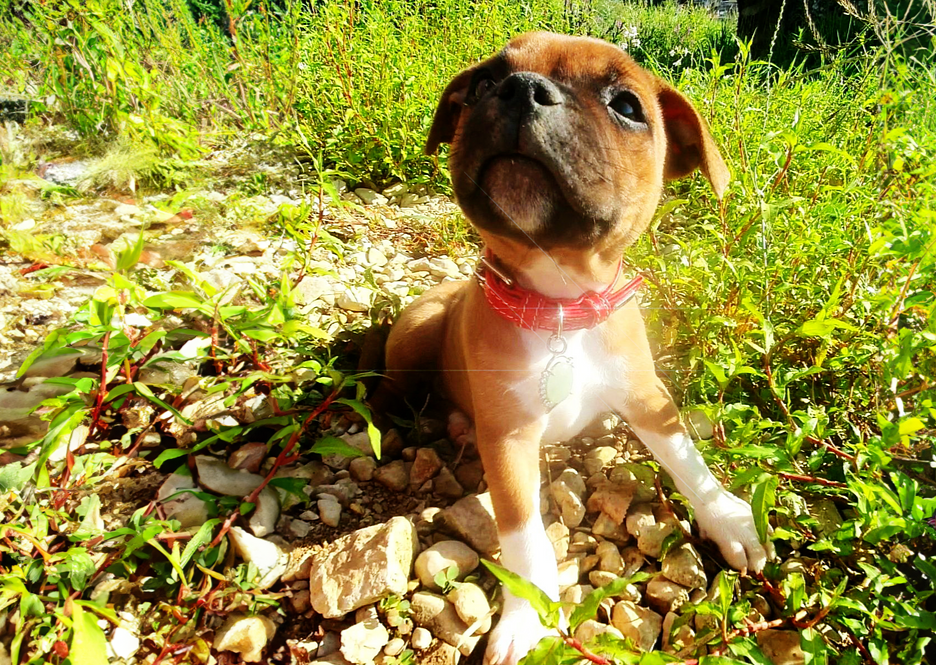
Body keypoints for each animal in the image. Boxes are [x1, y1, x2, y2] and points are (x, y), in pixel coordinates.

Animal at [371, 32, 768, 665]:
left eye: (627, 106)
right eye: (484, 83)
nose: (521, 90)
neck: (560, 306)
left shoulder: (646, 394)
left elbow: (687, 457)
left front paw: (728, 516)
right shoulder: (508, 439)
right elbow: (524, 534)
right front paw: (527, 619)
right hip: (416, 335)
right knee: (389, 390)